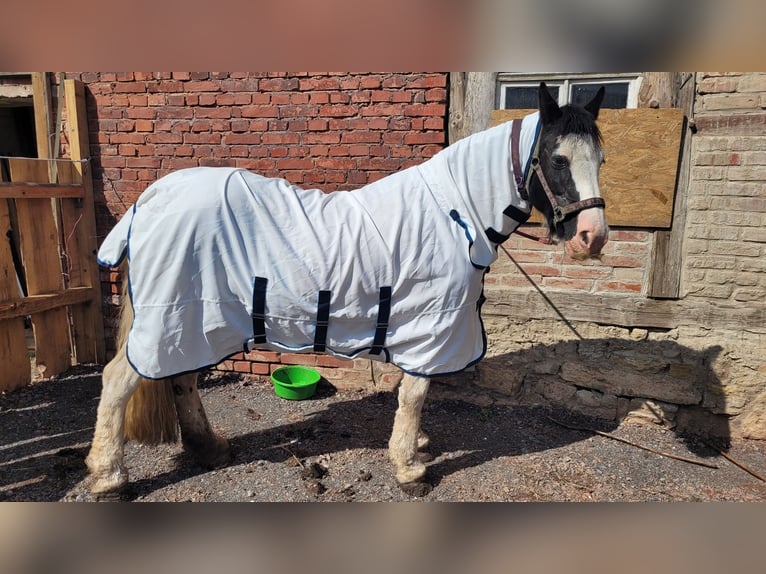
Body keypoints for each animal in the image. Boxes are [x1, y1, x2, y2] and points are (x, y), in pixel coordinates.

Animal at [85, 83, 612, 498]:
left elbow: (409, 388)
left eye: (602, 159)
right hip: (174, 316)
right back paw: (110, 477)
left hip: (193, 319)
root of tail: (153, 196)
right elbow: (416, 393)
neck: (455, 212)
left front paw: (416, 445)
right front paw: (409, 468)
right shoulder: (431, 324)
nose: (593, 237)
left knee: (182, 379)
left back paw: (210, 449)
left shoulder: (414, 325)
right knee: (119, 381)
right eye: (557, 159)